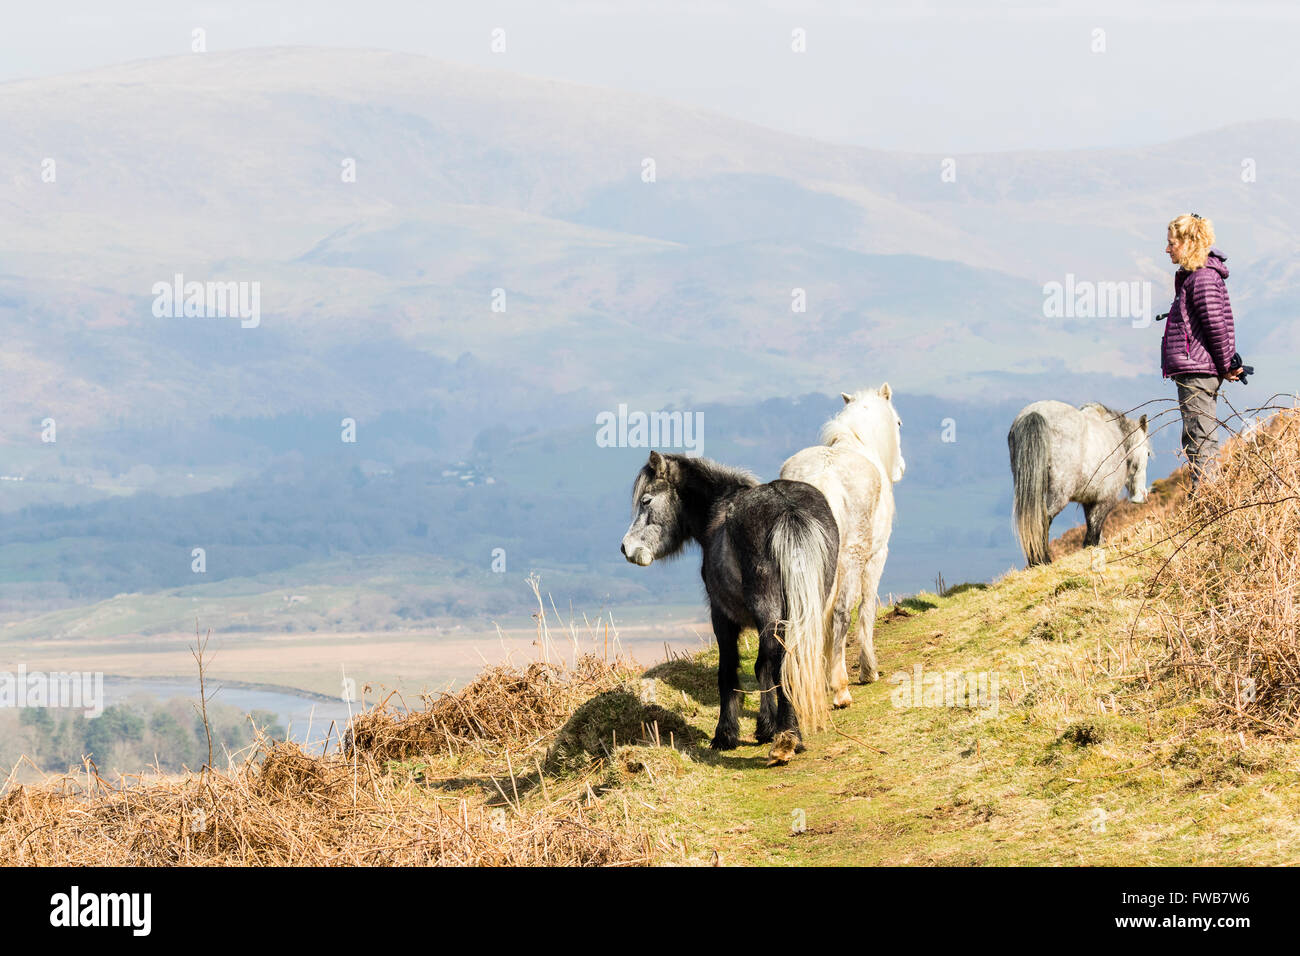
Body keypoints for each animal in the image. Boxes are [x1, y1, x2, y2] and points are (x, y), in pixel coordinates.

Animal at [621, 452, 842, 764]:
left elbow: (729, 670)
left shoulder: (721, 616)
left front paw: (725, 735)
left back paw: (787, 739)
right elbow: (761, 667)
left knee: (780, 660)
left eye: (646, 501)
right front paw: (765, 727)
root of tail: (788, 510)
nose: (626, 548)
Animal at [780, 385, 904, 707]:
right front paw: (869, 670)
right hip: (851, 558)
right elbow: (867, 608)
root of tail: (824, 477)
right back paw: (841, 689)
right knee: (841, 611)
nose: (900, 468)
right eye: (898, 423)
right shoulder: (876, 556)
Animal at [1008, 398, 1154, 564]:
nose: (1141, 496)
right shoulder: (1105, 500)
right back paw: (1043, 560)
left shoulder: (1088, 500)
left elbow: (1092, 527)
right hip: (1059, 494)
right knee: (1044, 519)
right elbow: (1094, 531)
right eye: (1147, 453)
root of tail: (1035, 413)